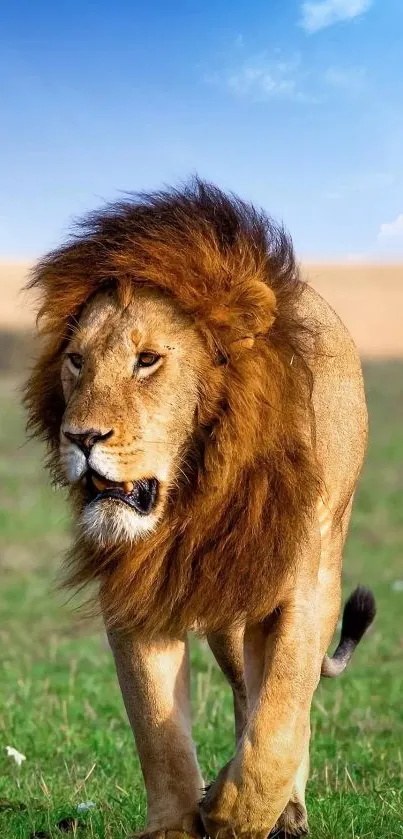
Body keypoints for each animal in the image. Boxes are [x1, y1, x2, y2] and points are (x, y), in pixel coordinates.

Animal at [25, 180, 378, 836]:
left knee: (285, 705)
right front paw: (178, 821)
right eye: (76, 360)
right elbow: (157, 731)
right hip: (228, 622)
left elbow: (279, 723)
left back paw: (287, 808)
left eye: (147, 360)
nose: (81, 438)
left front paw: (235, 813)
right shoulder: (137, 588)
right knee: (244, 693)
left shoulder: (301, 587)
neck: (193, 496)